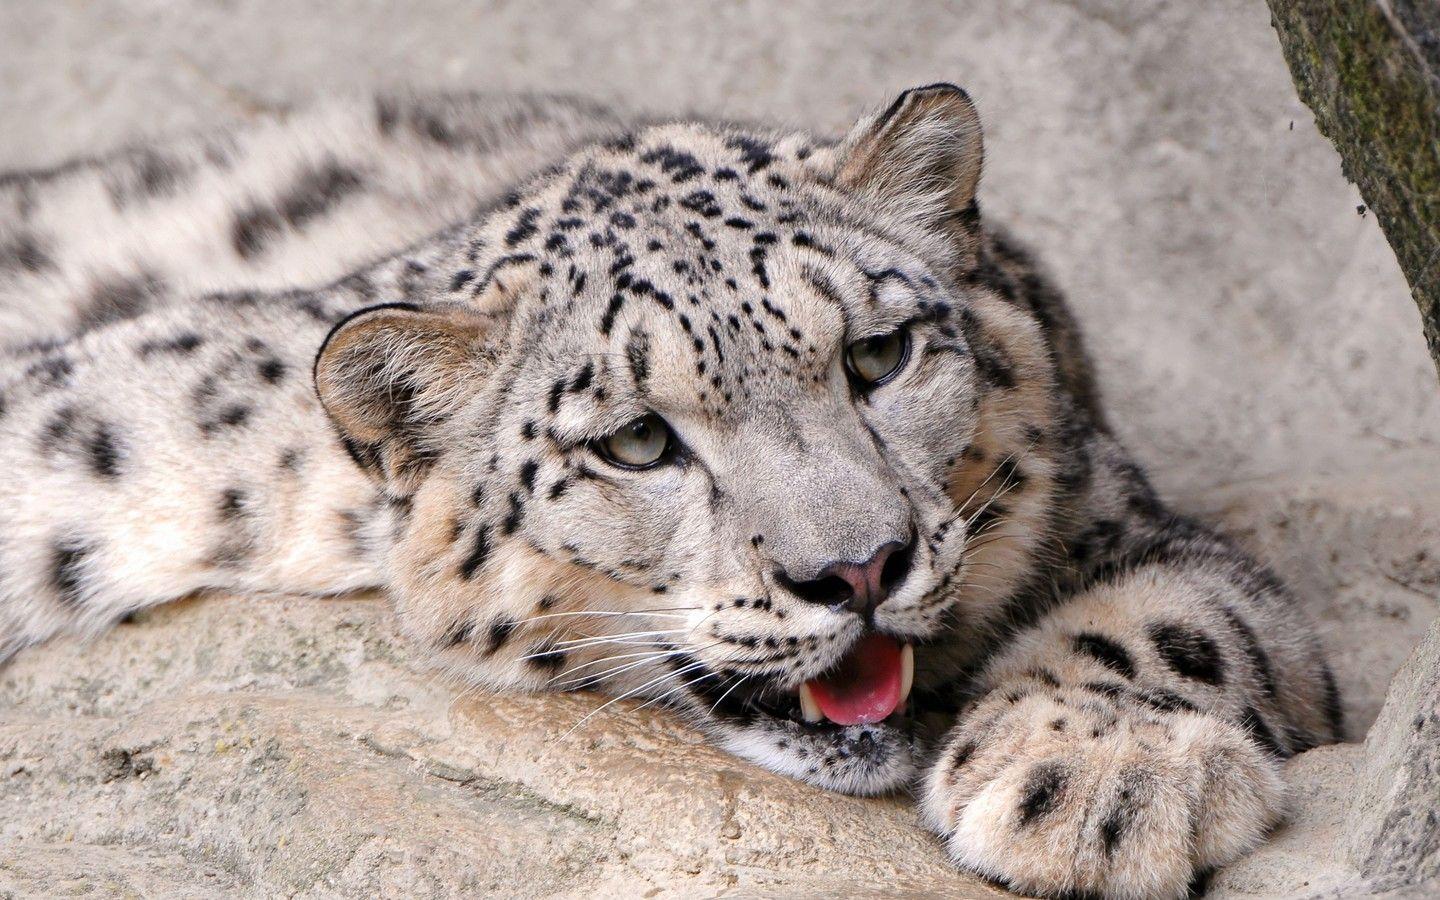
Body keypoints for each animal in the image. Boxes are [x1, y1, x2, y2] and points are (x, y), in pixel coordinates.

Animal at [0, 85, 1344, 898]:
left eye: (877, 355)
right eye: (640, 442)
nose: (857, 568)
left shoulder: (1112, 500)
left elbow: (1192, 611)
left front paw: (1101, 775)